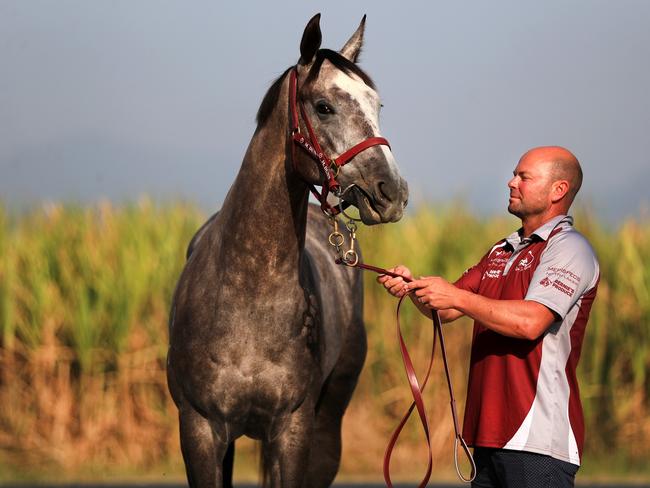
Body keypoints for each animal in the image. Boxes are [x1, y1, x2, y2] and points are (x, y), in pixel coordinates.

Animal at [168, 13, 404, 486]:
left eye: (377, 106)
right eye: (324, 106)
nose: (392, 192)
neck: (248, 302)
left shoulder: (294, 431)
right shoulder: (199, 431)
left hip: (328, 425)